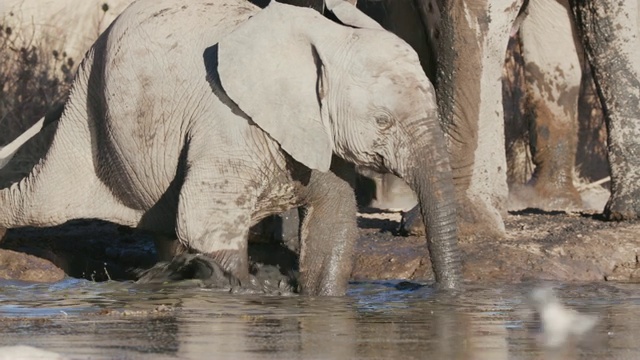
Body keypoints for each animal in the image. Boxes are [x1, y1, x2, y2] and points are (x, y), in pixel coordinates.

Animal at [0, 0, 462, 296]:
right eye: (383, 122)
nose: (437, 293)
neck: (324, 40)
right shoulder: (228, 119)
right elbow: (205, 220)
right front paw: (242, 289)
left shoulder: (318, 132)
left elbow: (333, 220)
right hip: (89, 119)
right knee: (37, 200)